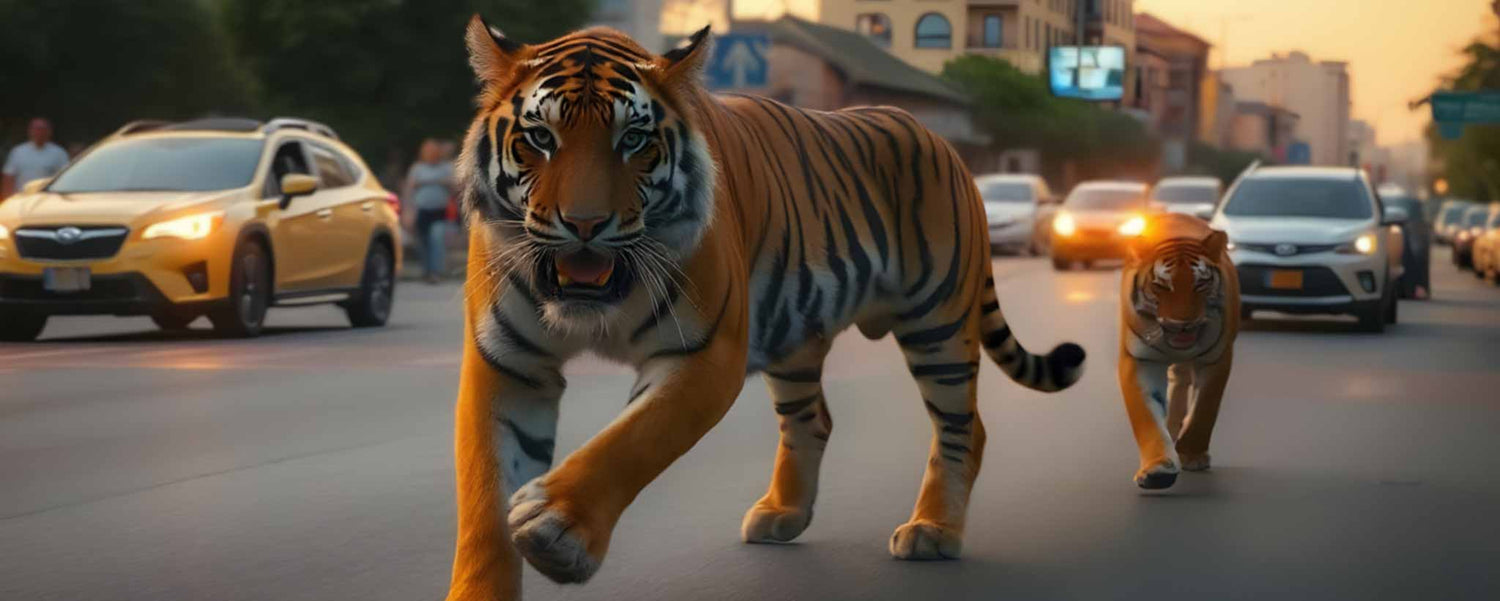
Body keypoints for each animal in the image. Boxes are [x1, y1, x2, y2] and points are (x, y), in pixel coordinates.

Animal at [445, 16, 1088, 599]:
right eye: (541, 139)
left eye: (632, 140)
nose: (584, 224)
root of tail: (938, 140)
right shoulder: (507, 364)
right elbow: (484, 502)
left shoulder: (705, 353)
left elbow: (632, 440)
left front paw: (557, 527)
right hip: (795, 336)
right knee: (813, 419)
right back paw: (783, 514)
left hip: (941, 323)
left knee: (964, 427)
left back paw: (934, 530)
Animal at [1118, 212, 1239, 490]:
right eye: (1162, 286)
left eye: (1201, 284)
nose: (1183, 323)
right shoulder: (1140, 359)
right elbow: (1146, 416)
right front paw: (1157, 469)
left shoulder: (1217, 358)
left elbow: (1204, 409)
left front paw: (1193, 455)